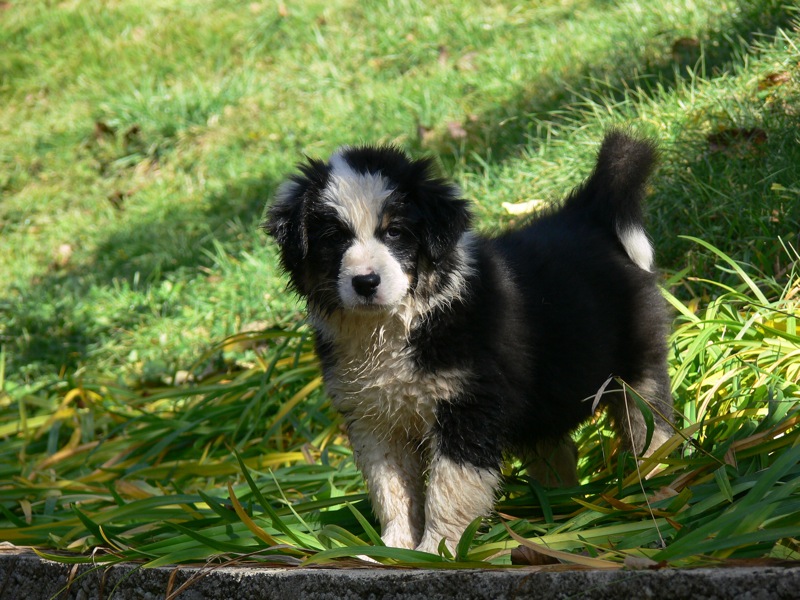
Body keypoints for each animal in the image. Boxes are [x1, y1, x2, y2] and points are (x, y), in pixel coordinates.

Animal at [266, 131, 672, 552]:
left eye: (394, 231)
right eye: (334, 237)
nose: (365, 282)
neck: (399, 324)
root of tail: (587, 212)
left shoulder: (467, 407)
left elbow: (449, 489)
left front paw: (437, 550)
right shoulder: (374, 419)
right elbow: (390, 488)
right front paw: (392, 549)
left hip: (636, 368)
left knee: (652, 430)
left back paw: (659, 489)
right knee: (556, 450)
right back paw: (558, 510)